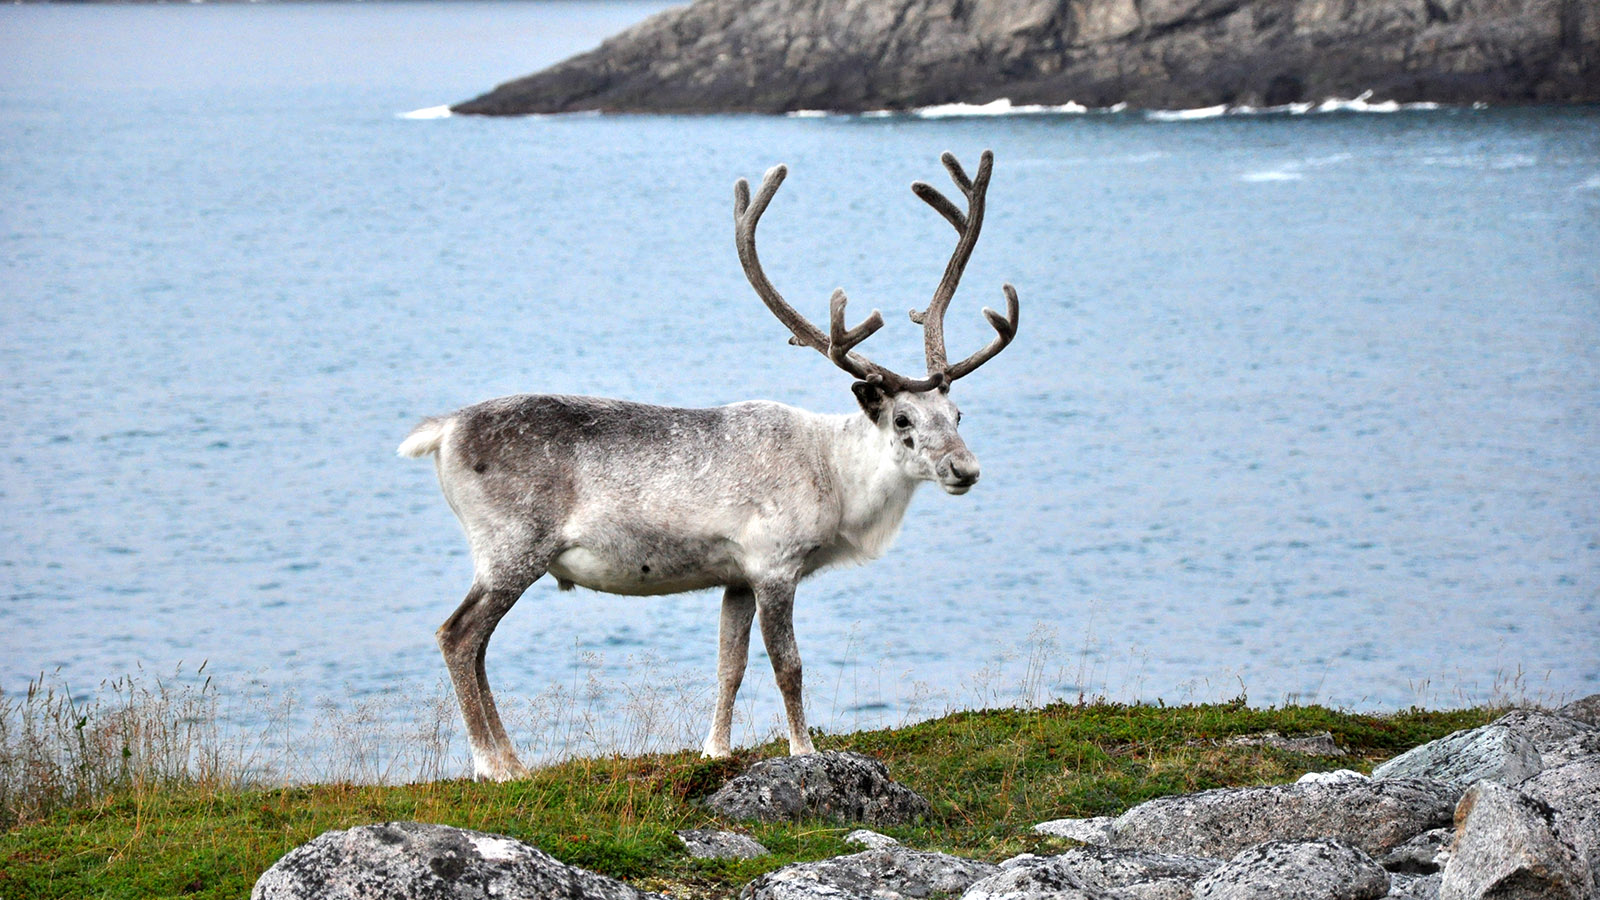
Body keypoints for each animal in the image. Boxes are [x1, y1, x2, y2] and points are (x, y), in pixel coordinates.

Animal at [399, 150, 1019, 781]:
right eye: (902, 420)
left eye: (958, 412)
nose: (965, 469)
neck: (836, 481)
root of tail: (443, 430)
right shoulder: (774, 565)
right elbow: (789, 666)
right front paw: (804, 752)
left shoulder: (737, 575)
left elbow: (730, 665)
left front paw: (714, 749)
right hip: (513, 546)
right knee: (458, 635)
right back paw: (493, 765)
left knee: (476, 644)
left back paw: (514, 761)